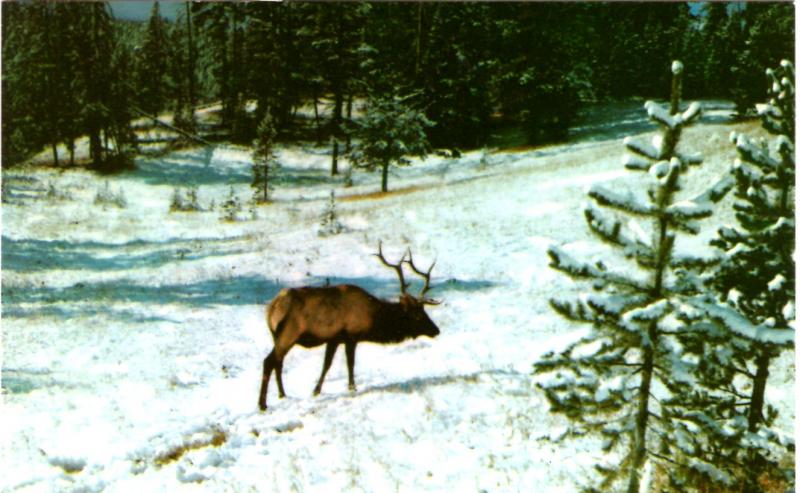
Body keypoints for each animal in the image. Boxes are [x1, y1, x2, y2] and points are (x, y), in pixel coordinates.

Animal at [258, 240, 440, 410]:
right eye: (418, 315)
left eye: (424, 311)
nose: (436, 330)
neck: (373, 317)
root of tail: (272, 307)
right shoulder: (350, 336)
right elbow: (348, 363)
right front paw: (351, 388)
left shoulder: (334, 339)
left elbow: (327, 364)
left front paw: (317, 390)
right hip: (289, 333)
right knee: (269, 361)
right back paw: (262, 404)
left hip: (276, 336)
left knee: (278, 362)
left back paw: (282, 394)